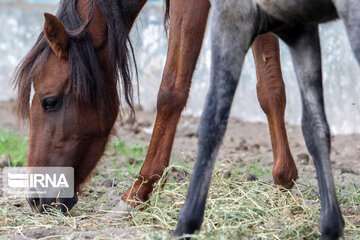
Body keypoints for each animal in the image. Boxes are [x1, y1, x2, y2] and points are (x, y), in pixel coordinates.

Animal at [12, 0, 296, 214]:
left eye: (50, 101)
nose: (35, 199)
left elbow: (171, 91)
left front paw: (138, 191)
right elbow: (270, 88)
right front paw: (283, 180)